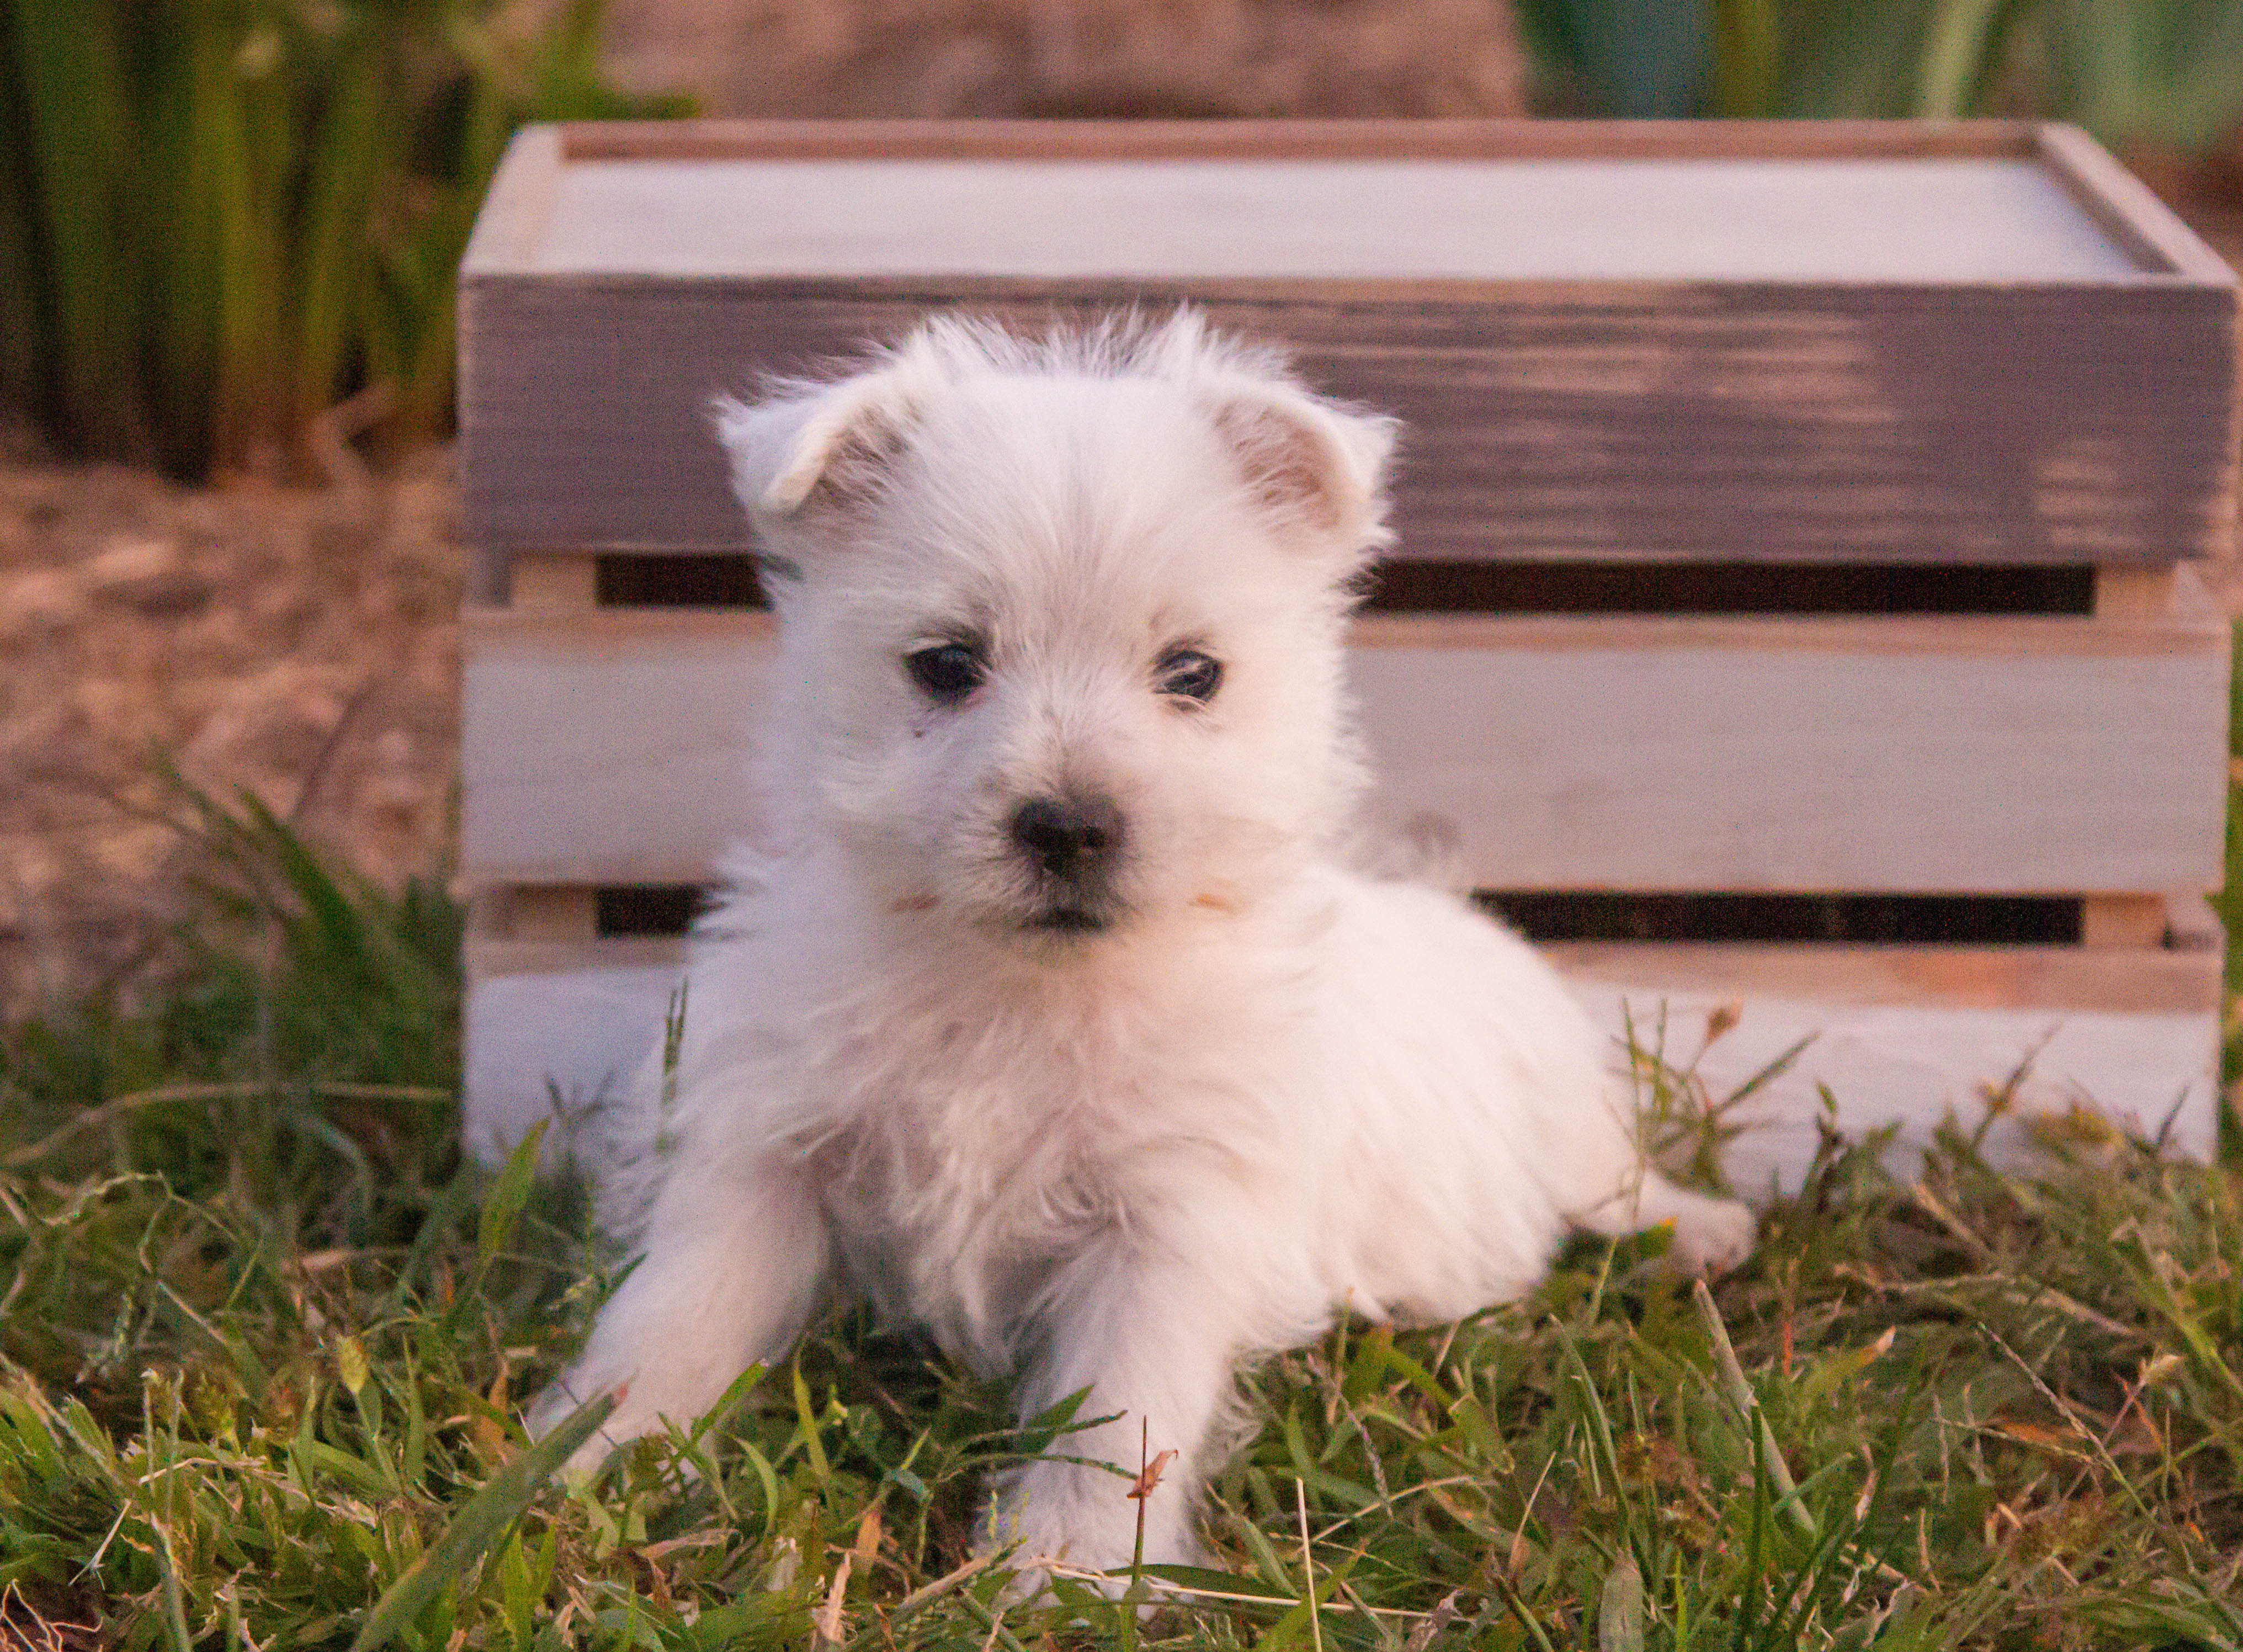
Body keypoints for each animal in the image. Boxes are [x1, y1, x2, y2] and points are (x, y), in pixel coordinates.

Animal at [524, 312, 1749, 1589]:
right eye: (946, 664)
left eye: (1191, 674)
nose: (1067, 824)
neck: (1020, 987)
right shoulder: (767, 1144)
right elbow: (683, 1304)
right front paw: (593, 1450)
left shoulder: (1171, 1215)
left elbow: (1123, 1400)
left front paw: (1069, 1564)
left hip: (1560, 1120)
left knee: (1617, 1176)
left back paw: (1702, 1231)